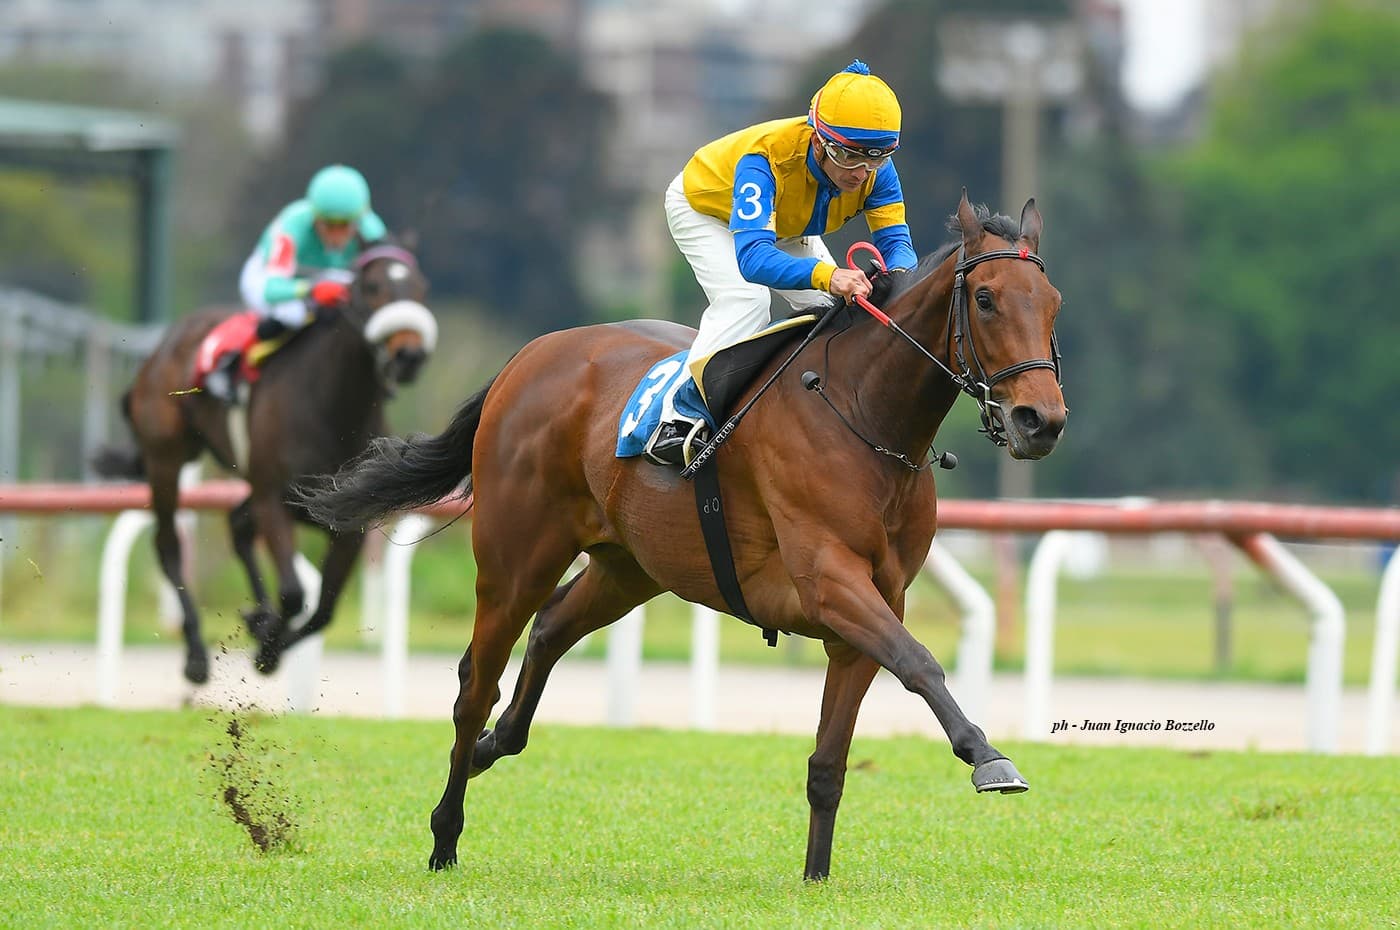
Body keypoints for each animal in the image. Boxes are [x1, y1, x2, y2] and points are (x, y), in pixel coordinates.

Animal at [92, 244, 437, 685]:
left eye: (421, 287)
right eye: (373, 286)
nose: (409, 355)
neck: (334, 408)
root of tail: (162, 347)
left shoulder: (345, 520)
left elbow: (324, 609)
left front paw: (266, 639)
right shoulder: (274, 498)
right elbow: (293, 594)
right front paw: (267, 644)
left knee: (238, 525)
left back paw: (255, 616)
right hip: (166, 458)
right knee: (169, 545)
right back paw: (196, 656)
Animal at [300, 192, 1065, 881]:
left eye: (1053, 303)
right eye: (987, 299)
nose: (1040, 421)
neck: (864, 415)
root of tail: (529, 356)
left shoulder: (871, 607)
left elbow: (830, 761)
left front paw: (816, 877)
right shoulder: (830, 582)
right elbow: (920, 662)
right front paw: (988, 756)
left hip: (630, 567)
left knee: (549, 629)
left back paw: (496, 745)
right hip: (517, 558)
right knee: (473, 686)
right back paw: (445, 833)